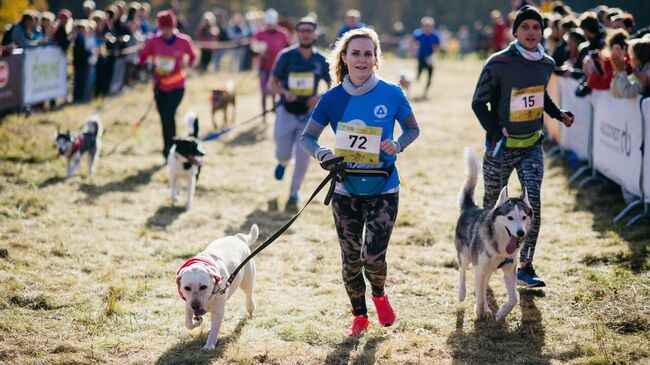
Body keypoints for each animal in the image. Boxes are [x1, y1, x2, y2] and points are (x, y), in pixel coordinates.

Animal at [450, 148, 532, 318]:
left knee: (484, 284)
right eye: (510, 217)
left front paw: (500, 314)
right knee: (463, 271)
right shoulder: (479, 268)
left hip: (488, 268)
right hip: (465, 255)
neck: (499, 245)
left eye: (523, 217)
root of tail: (471, 207)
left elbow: (514, 298)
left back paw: (487, 309)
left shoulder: (509, 270)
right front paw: (479, 311)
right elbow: (480, 296)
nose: (520, 233)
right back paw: (462, 294)